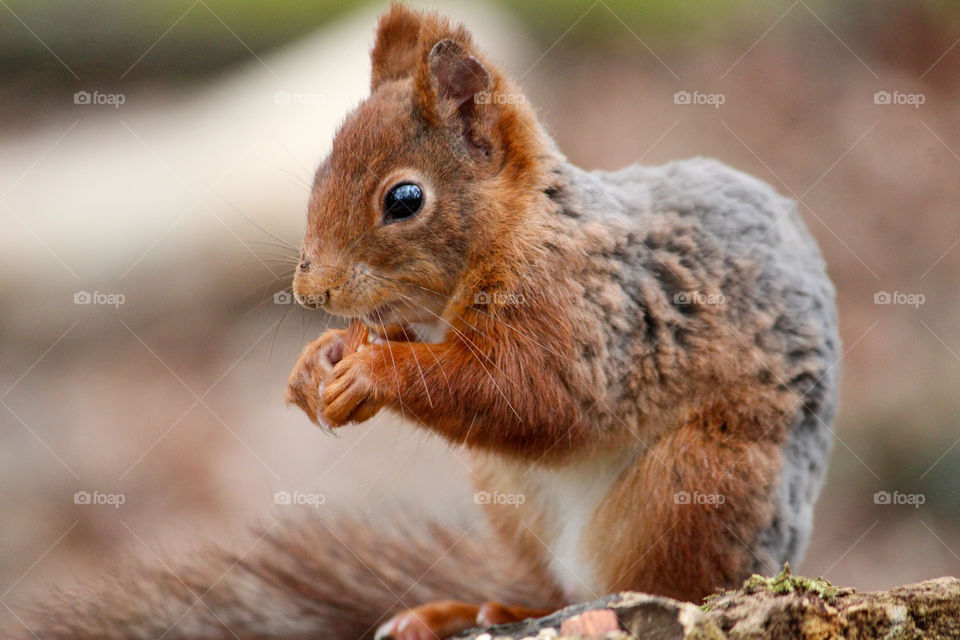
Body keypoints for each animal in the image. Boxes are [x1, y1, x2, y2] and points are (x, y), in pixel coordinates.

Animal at [13, 5, 840, 640]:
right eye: (317, 172)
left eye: (404, 200)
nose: (310, 290)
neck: (513, 238)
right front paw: (318, 362)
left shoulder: (589, 318)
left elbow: (538, 397)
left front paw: (372, 370)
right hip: (515, 503)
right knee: (556, 593)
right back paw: (476, 609)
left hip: (697, 484)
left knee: (665, 584)